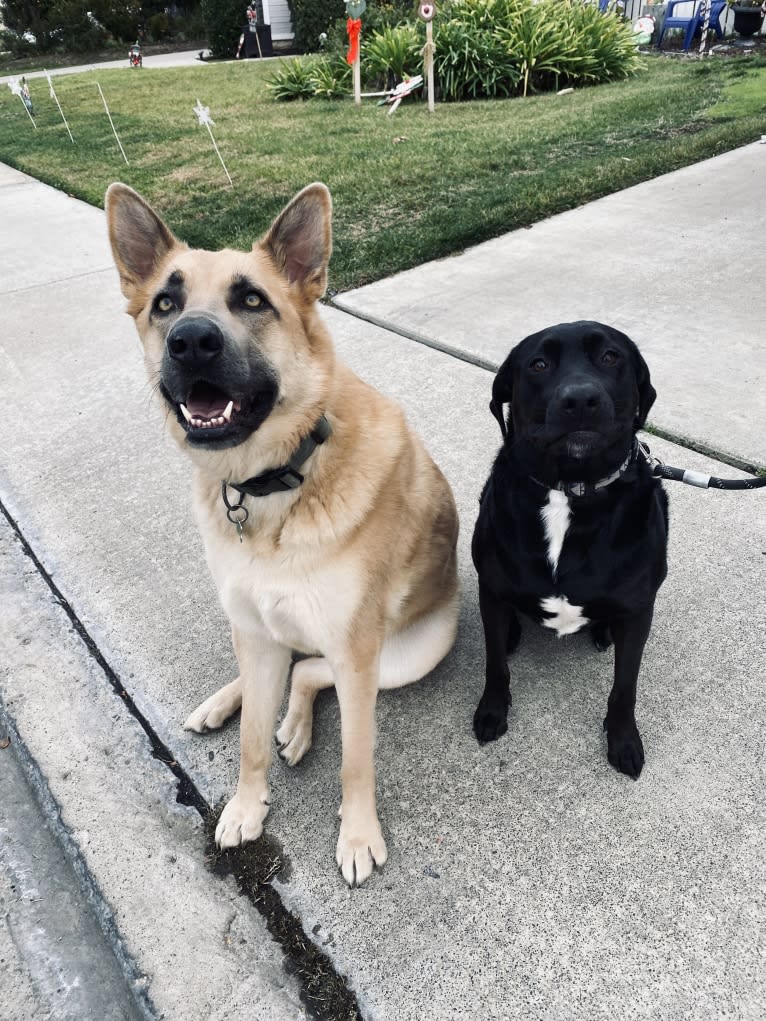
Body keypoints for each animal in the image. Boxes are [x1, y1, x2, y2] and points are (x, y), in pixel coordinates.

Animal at [105, 183, 459, 886]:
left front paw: (357, 836)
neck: (273, 483)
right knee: (280, 673)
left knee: (311, 671)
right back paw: (229, 703)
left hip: (411, 653)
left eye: (251, 300)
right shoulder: (252, 626)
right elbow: (249, 745)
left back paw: (293, 724)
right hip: (260, 633)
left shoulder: (357, 652)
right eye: (165, 303)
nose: (190, 342)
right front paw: (247, 806)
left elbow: (355, 758)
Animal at [471, 322, 669, 775]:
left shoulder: (638, 612)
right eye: (539, 364)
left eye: (611, 357)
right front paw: (492, 710)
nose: (580, 399)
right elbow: (495, 664)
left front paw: (623, 739)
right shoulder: (491, 589)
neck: (570, 489)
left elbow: (625, 685)